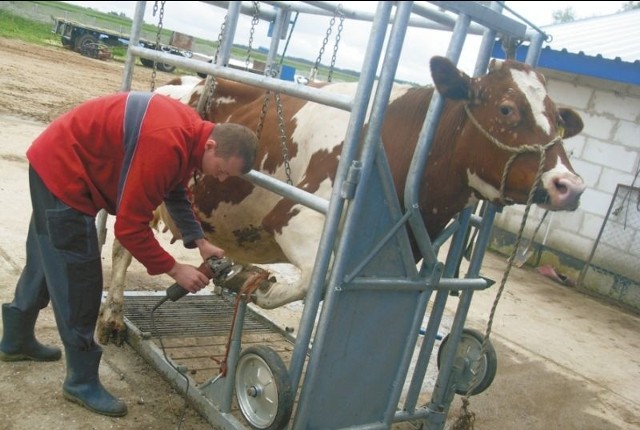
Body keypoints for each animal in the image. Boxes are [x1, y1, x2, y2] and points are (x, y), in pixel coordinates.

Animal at [96, 56, 584, 346]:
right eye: (506, 109)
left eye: (558, 118)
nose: (570, 186)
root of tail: (176, 81)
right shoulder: (296, 218)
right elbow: (317, 275)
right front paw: (257, 285)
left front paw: (244, 280)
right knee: (122, 246)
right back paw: (113, 319)